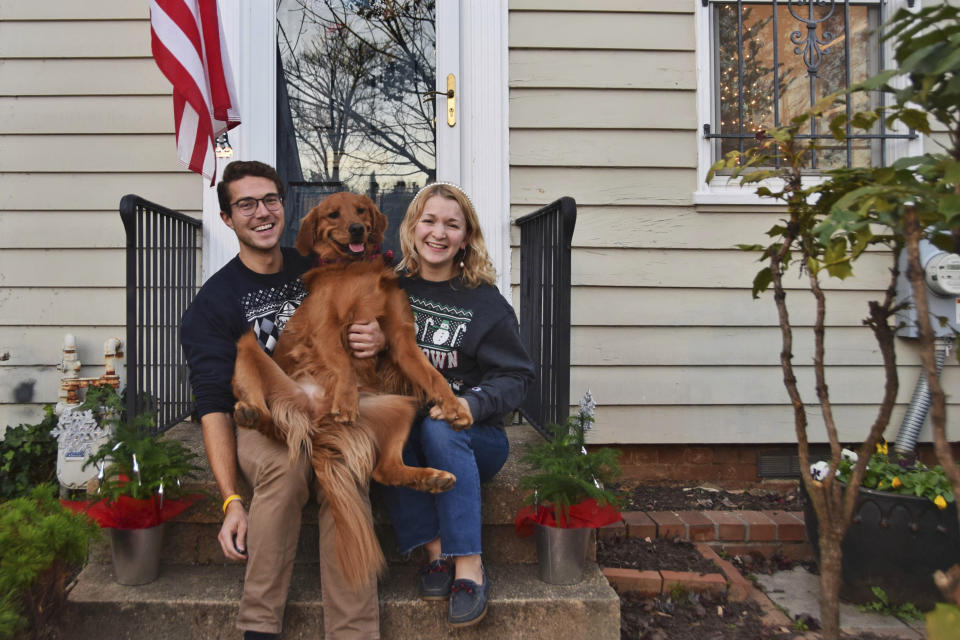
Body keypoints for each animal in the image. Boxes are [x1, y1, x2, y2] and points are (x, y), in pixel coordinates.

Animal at [232, 191, 472, 592]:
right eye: (333, 214)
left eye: (361, 210)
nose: (358, 228)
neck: (354, 269)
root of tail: (317, 424)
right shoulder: (326, 328)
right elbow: (343, 364)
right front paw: (344, 400)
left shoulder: (401, 339)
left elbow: (432, 376)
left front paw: (454, 406)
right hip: (249, 349)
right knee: (275, 424)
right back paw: (253, 414)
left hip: (402, 406)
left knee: (383, 470)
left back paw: (431, 478)